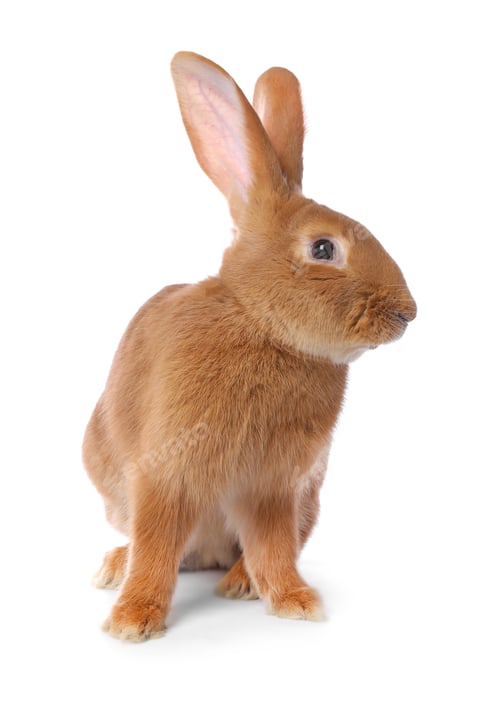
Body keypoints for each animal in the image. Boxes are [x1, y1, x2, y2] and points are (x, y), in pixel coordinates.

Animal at [83, 51, 416, 641]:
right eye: (323, 249)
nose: (408, 312)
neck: (261, 325)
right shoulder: (165, 471)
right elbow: (157, 545)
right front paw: (132, 621)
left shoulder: (274, 488)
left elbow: (274, 547)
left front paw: (294, 602)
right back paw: (116, 568)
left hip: (309, 498)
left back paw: (238, 583)